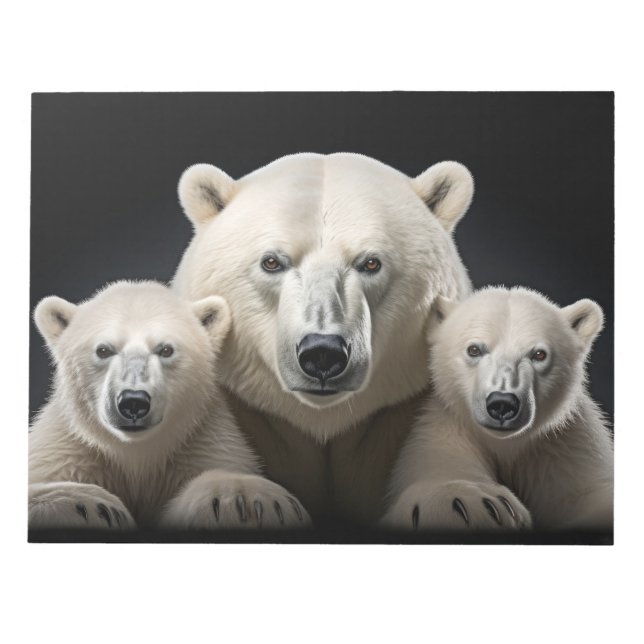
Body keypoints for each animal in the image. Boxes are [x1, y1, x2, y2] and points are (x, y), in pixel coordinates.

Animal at [29, 281, 310, 531]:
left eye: (165, 349)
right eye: (103, 350)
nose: (133, 401)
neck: (136, 455)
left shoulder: (200, 443)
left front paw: (248, 500)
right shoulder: (70, 449)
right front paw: (89, 505)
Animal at [382, 287, 613, 532]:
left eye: (539, 354)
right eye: (474, 349)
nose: (502, 403)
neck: (505, 444)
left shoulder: (563, 443)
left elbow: (585, 491)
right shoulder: (448, 425)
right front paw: (467, 503)